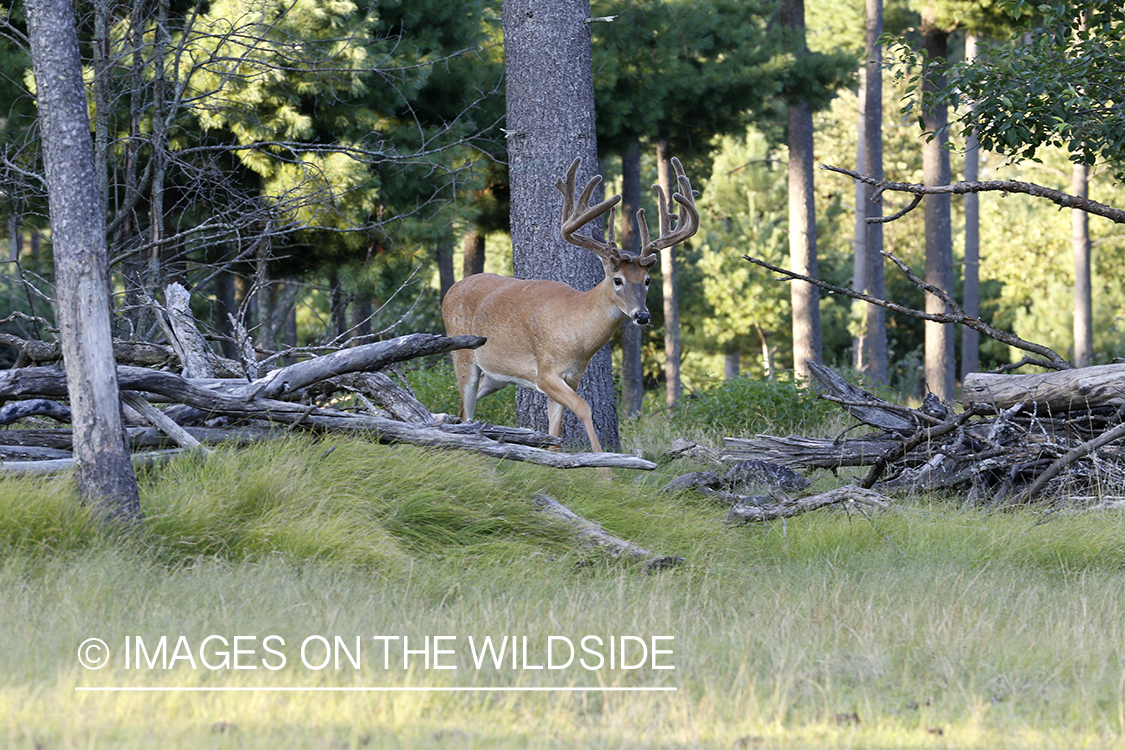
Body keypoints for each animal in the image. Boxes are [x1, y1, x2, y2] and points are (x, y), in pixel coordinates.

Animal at [441, 157, 697, 452]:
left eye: (647, 280)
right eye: (618, 280)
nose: (642, 316)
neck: (577, 335)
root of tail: (450, 290)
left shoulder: (571, 377)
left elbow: (555, 433)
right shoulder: (545, 372)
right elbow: (584, 408)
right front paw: (602, 463)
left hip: (495, 376)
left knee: (462, 409)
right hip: (463, 355)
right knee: (467, 408)